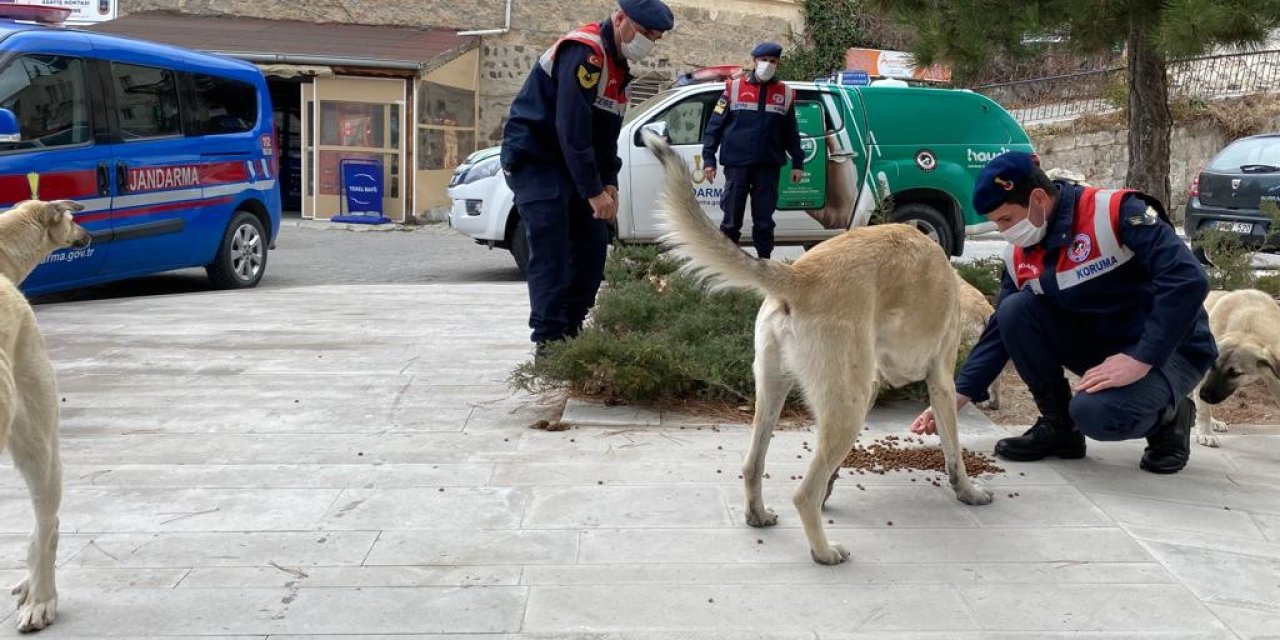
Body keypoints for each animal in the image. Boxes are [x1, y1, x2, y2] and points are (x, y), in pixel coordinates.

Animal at [645, 131, 993, 565]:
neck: (957, 290)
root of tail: (798, 276)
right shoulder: (941, 383)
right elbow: (953, 450)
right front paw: (968, 492)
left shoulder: (874, 383)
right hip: (847, 405)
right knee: (802, 493)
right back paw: (824, 551)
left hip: (776, 392)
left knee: (753, 464)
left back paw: (758, 515)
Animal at [1187, 288, 1280, 448]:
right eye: (1213, 365)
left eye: (1235, 374)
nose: (1205, 395)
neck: (1249, 329)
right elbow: (1203, 408)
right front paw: (1205, 433)